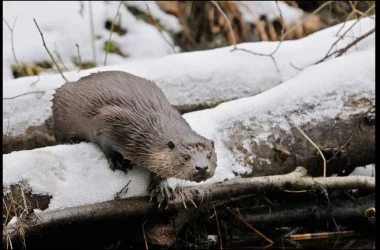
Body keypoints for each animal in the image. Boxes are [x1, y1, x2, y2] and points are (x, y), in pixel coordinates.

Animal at [51, 70, 217, 189]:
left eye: (209, 156)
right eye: (185, 157)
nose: (202, 167)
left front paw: (161, 187)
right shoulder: (109, 120)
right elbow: (105, 144)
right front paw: (118, 162)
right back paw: (72, 141)